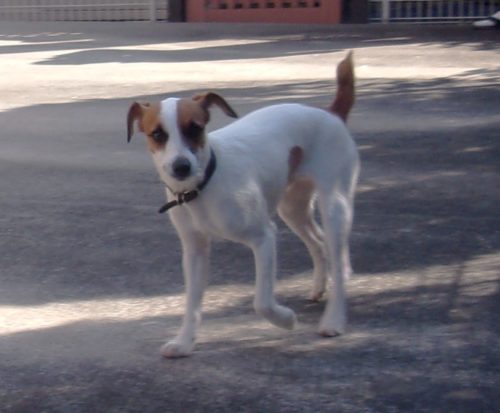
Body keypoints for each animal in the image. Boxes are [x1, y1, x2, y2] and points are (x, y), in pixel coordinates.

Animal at [127, 52, 359, 358]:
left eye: (195, 128)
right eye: (157, 135)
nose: (181, 167)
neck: (205, 185)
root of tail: (331, 114)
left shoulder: (264, 238)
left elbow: (262, 302)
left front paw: (286, 319)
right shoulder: (195, 251)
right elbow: (192, 305)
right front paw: (185, 341)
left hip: (334, 205)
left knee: (335, 251)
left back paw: (333, 319)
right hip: (293, 208)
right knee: (320, 244)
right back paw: (322, 285)